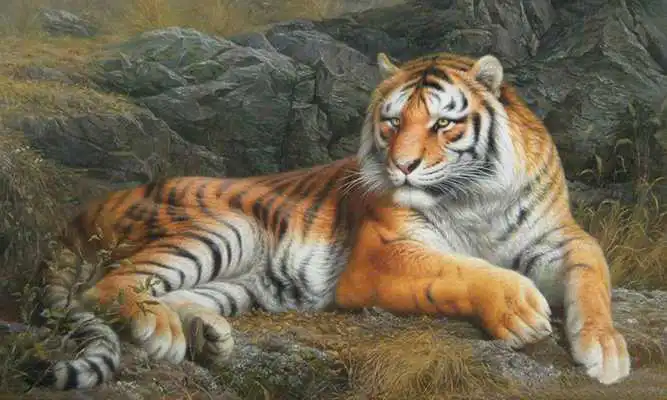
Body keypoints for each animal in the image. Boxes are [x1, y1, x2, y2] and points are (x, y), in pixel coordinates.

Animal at [29, 51, 630, 390]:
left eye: (443, 124)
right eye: (392, 123)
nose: (403, 166)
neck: (473, 196)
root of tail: (71, 219)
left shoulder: (558, 236)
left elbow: (593, 268)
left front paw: (604, 348)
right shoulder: (383, 254)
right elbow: (461, 271)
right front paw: (521, 310)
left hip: (243, 281)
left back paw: (209, 337)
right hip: (229, 228)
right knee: (106, 287)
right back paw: (164, 334)